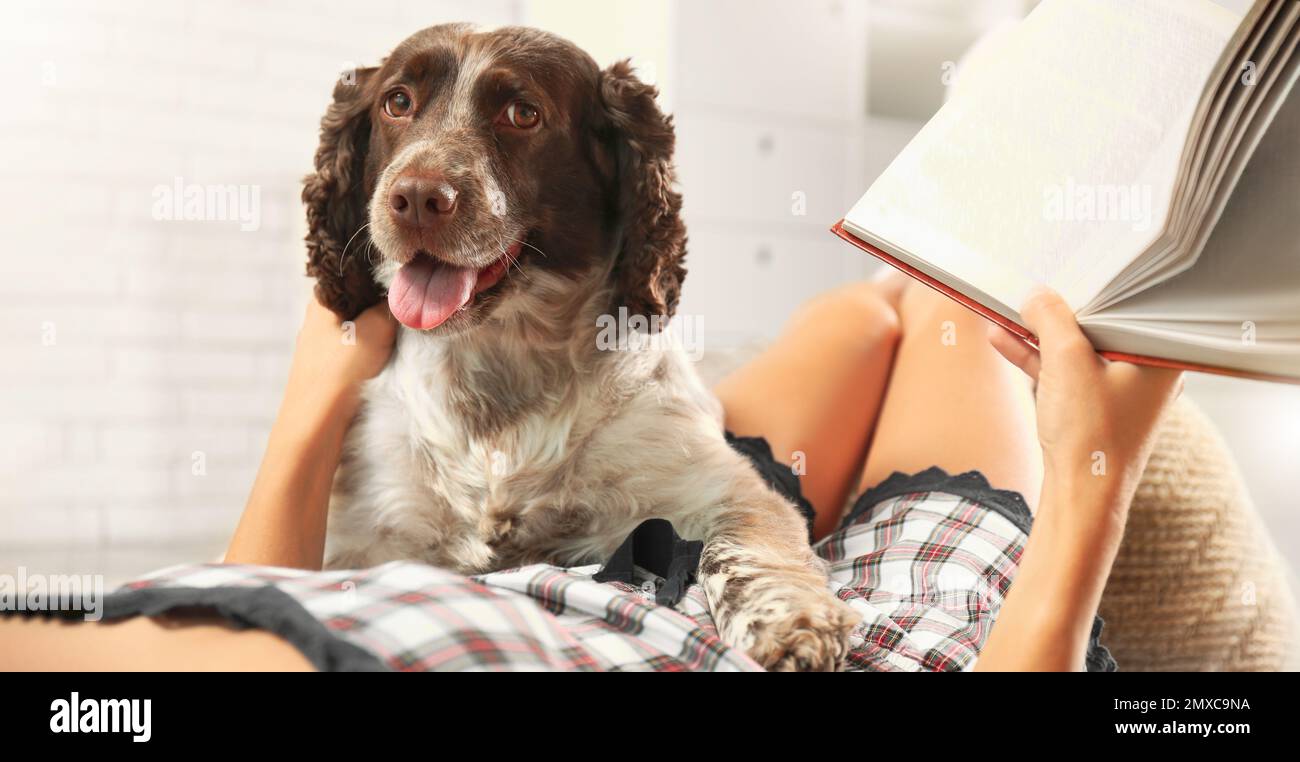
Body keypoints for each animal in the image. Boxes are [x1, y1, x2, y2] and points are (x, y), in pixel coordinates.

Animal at [299, 23, 857, 665]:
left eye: (522, 113)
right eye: (397, 102)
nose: (416, 199)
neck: (501, 370)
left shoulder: (724, 492)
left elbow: (743, 548)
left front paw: (787, 622)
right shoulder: (367, 538)